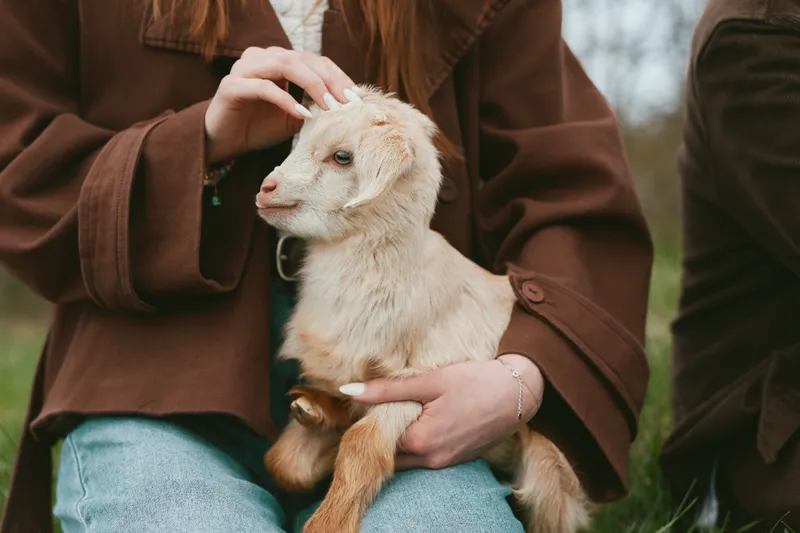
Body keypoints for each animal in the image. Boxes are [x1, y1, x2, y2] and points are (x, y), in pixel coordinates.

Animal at [256, 85, 590, 533]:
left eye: (342, 157)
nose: (266, 188)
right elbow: (283, 463)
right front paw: (319, 413)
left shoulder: (424, 380)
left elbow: (361, 446)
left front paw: (329, 522)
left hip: (549, 469)